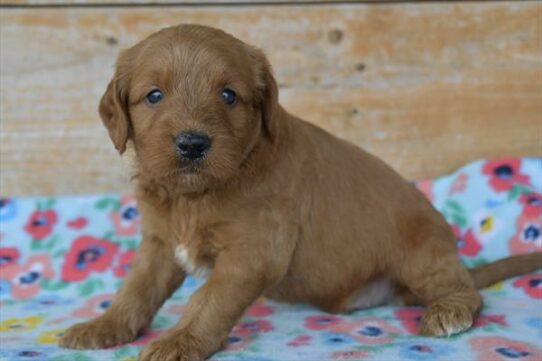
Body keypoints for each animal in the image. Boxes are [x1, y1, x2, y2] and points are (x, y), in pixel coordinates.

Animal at [59, 23, 542, 358]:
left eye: (229, 95)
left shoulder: (254, 251)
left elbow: (207, 300)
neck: (194, 195)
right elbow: (136, 290)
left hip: (421, 251)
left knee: (466, 290)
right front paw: (101, 327)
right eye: (154, 95)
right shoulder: (160, 244)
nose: (193, 144)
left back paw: (448, 311)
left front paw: (179, 342)